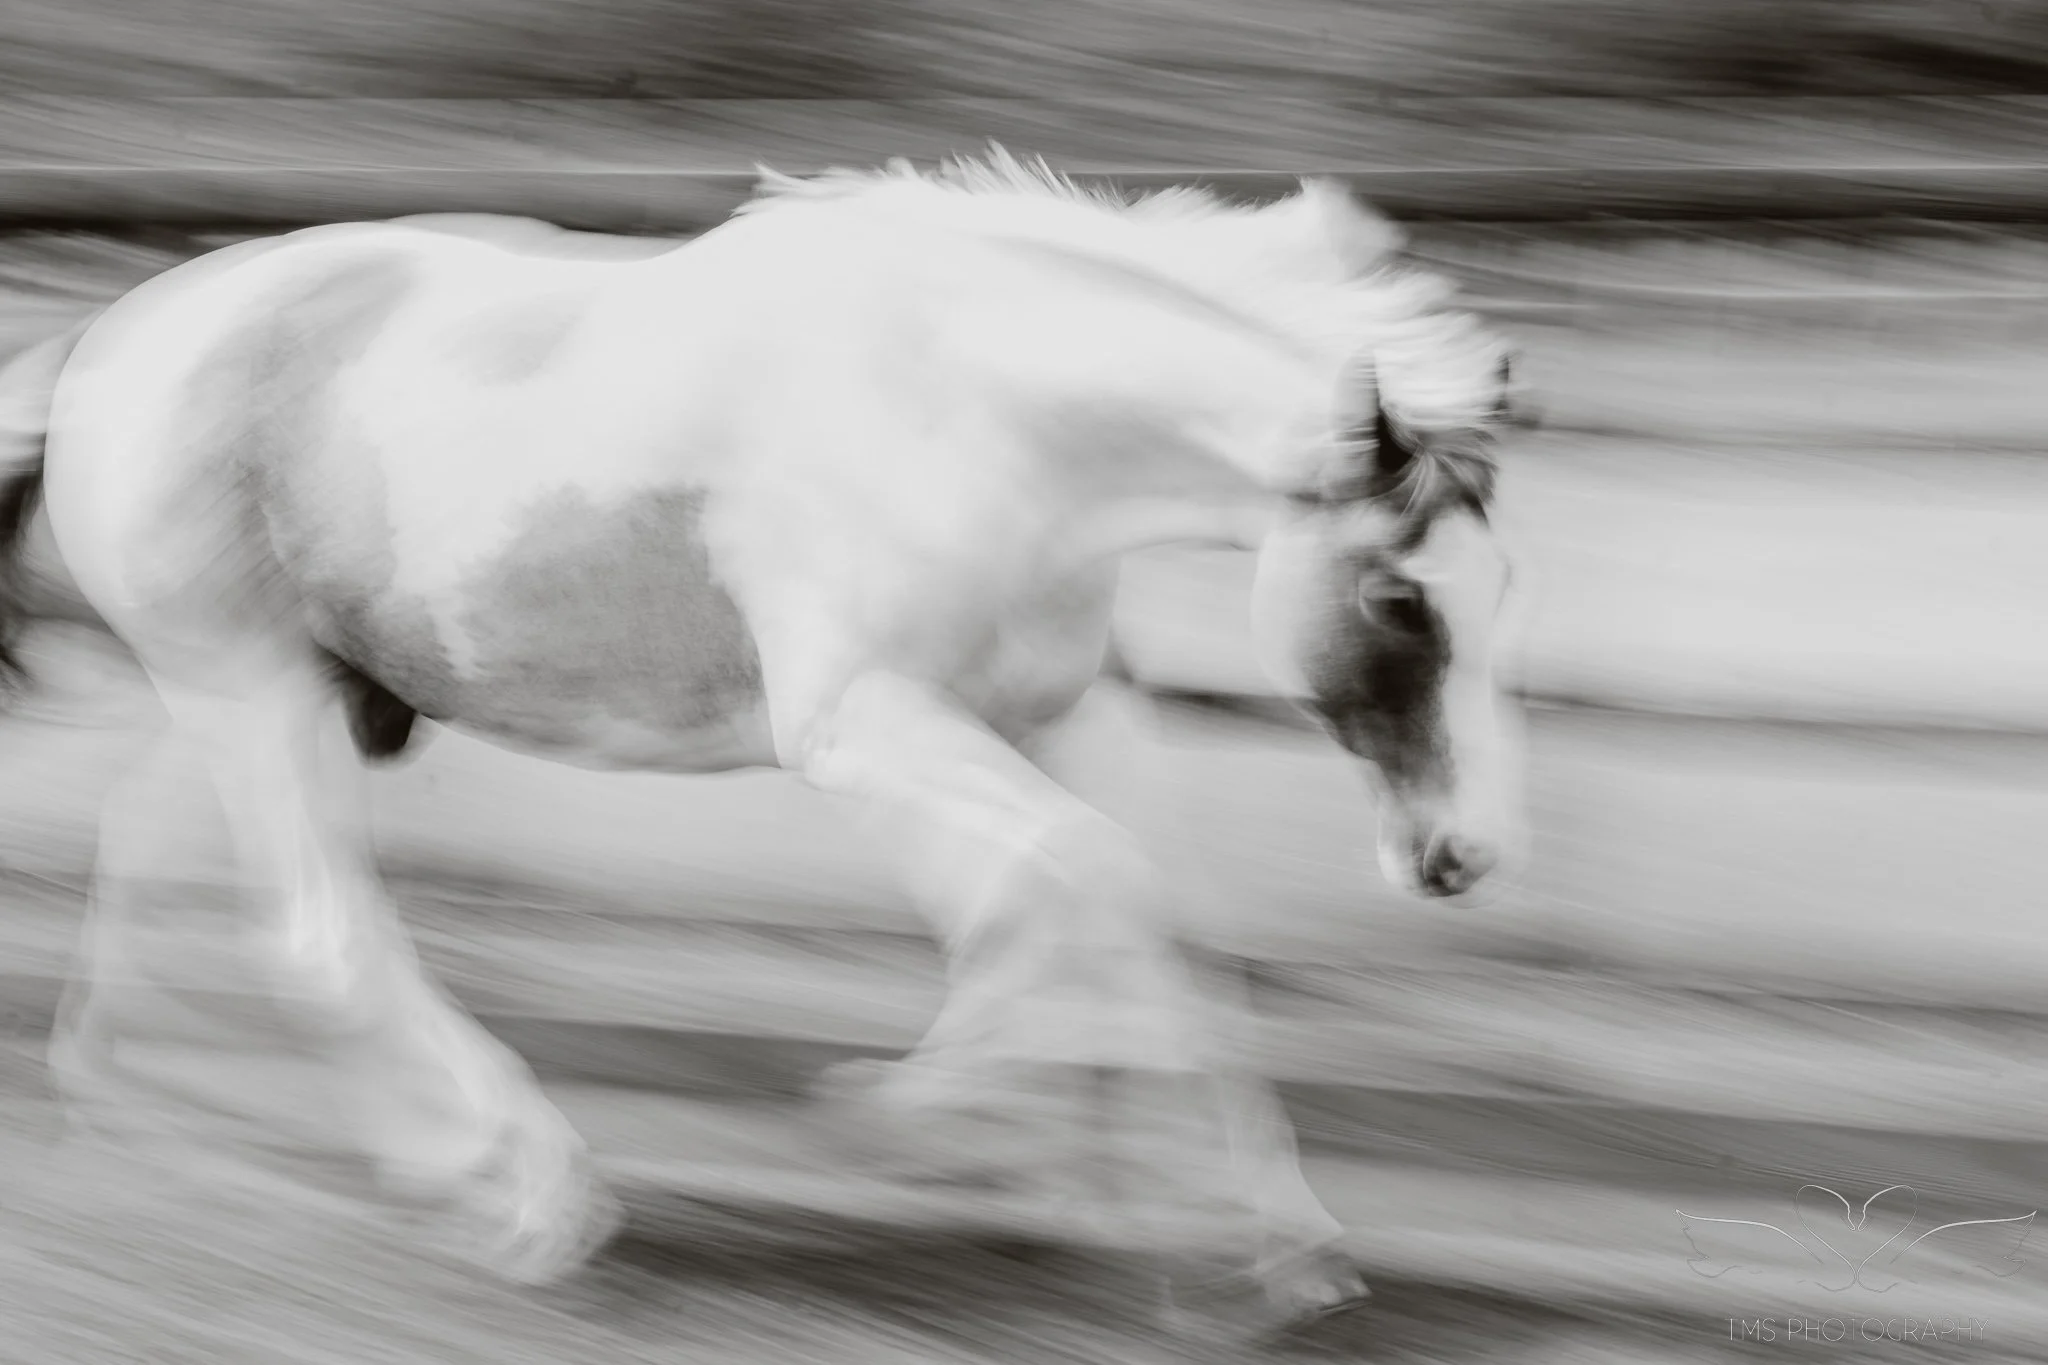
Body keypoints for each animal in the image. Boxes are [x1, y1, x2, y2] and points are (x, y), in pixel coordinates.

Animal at [0, 149, 1523, 1328]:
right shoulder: (859, 725)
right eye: (1399, 599)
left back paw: (151, 1111)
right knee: (320, 931)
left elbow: (1135, 916)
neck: (981, 424)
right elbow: (1081, 889)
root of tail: (110, 343)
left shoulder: (1060, 712)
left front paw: (1267, 1243)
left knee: (167, 856)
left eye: (1503, 588)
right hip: (250, 693)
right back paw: (531, 1198)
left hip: (277, 697)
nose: (1462, 857)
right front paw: (932, 1116)